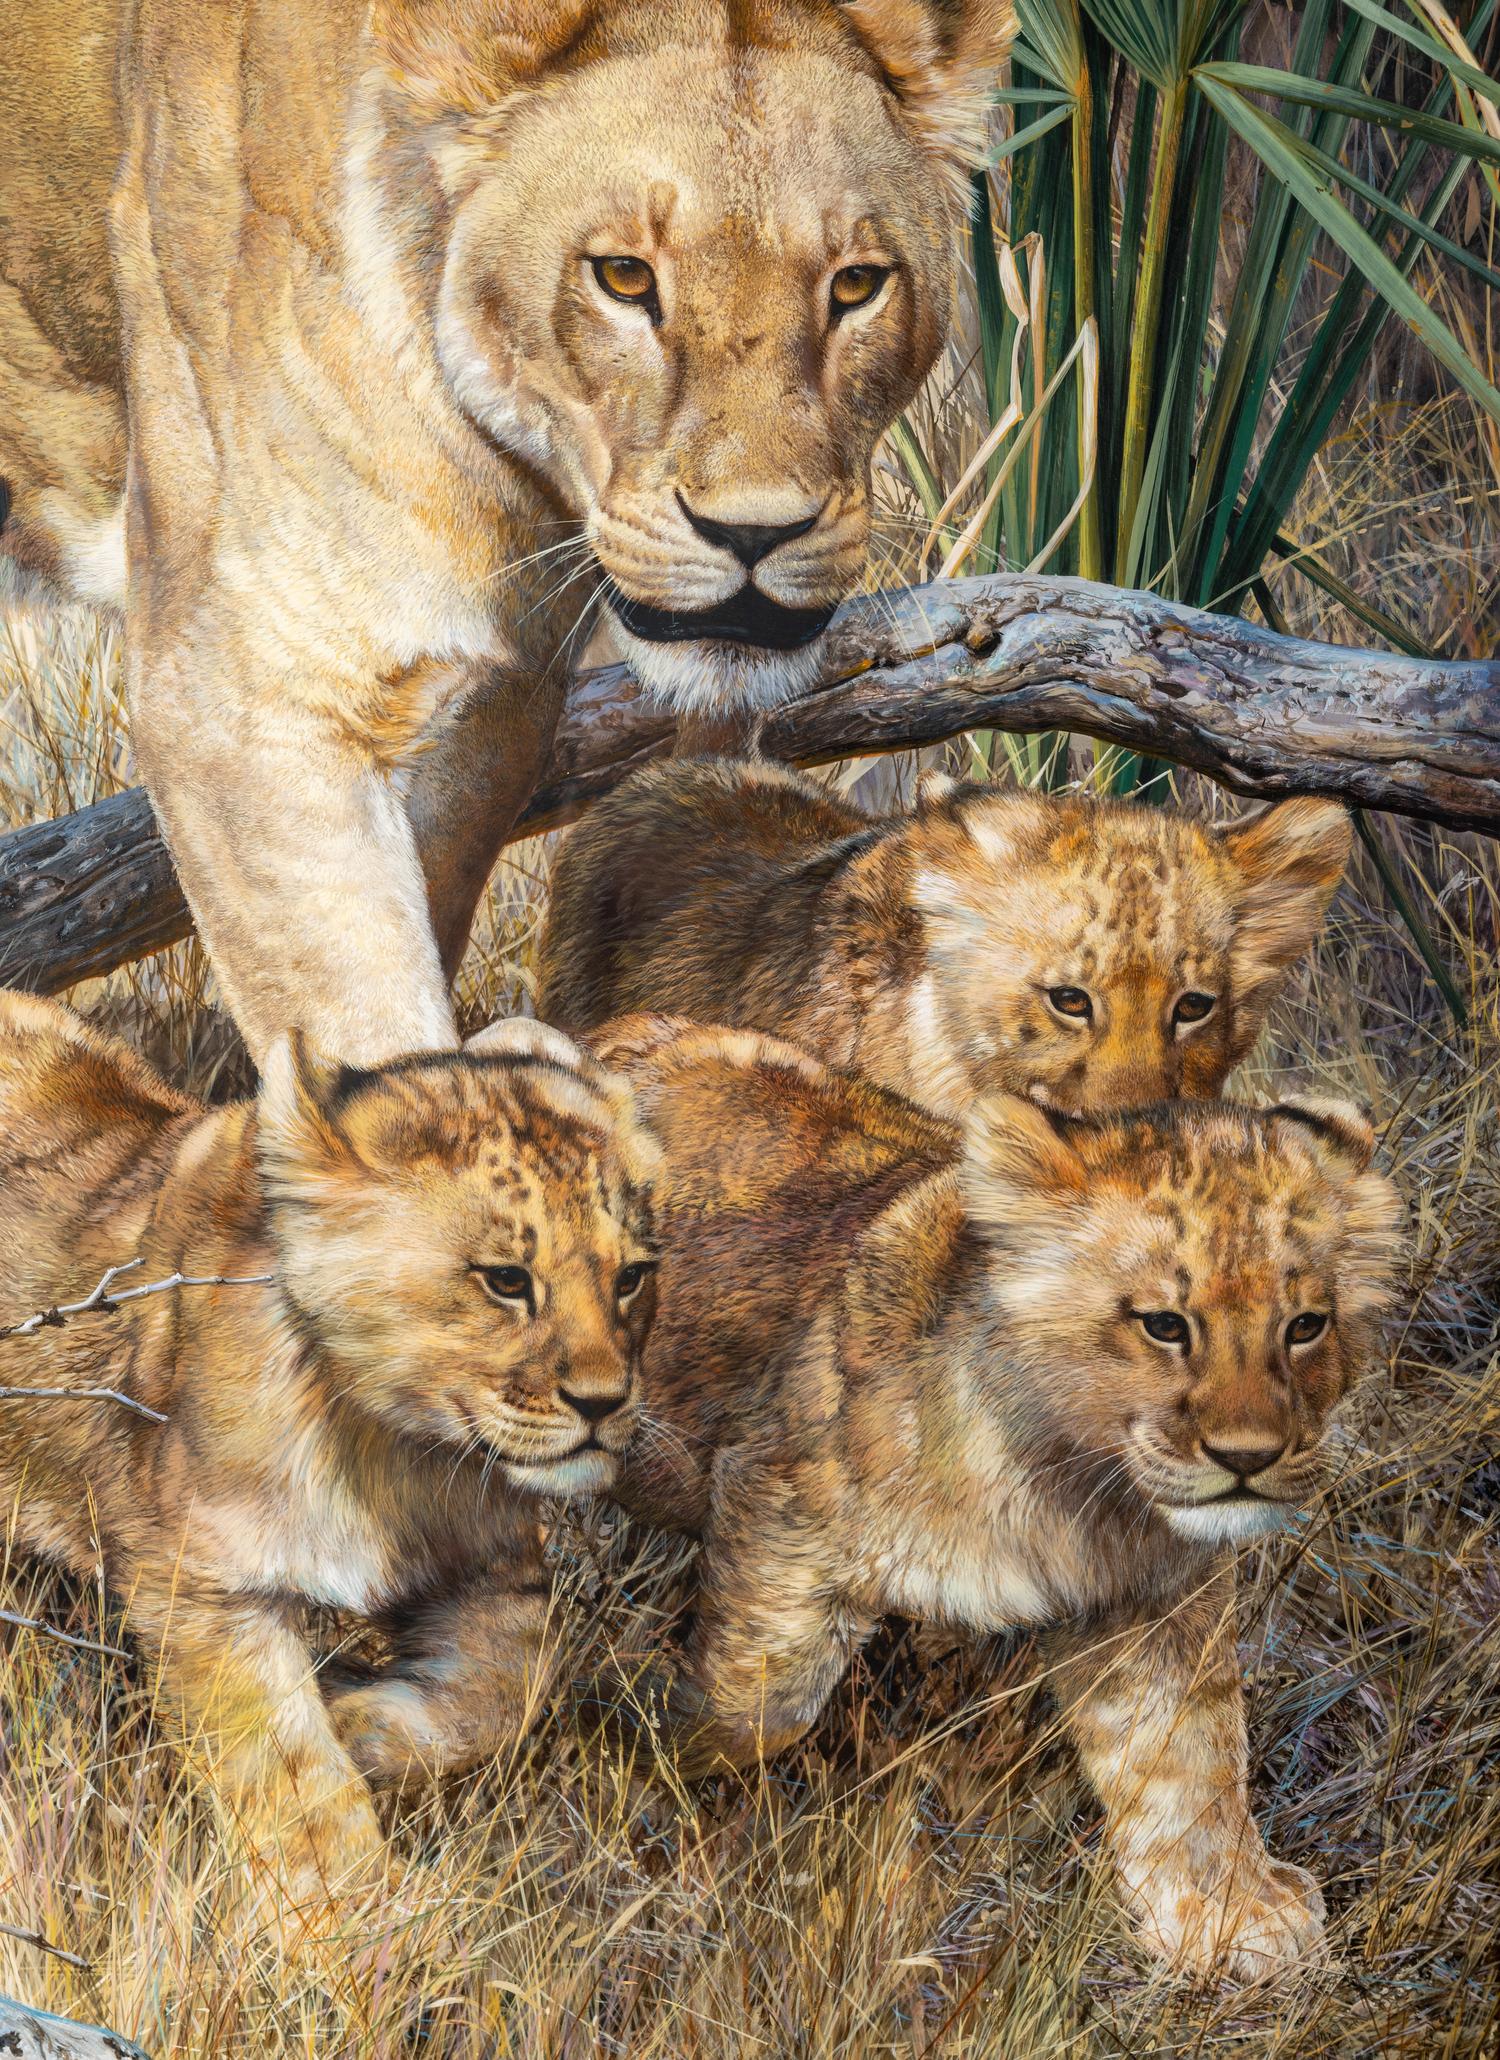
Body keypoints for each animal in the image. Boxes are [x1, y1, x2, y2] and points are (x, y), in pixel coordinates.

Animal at [0, 0, 1014, 1068]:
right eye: (623, 276)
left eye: (857, 285)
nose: (753, 535)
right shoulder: (238, 697)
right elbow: (358, 1014)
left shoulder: (496, 697)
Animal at [0, 991, 659, 1938]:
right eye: (504, 1279)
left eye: (633, 1278)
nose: (606, 1406)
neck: (394, 1446)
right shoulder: (197, 1584)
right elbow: (292, 1778)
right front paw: (353, 1932)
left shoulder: (494, 1567)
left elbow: (519, 1676)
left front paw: (361, 1721)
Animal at [582, 1017, 1403, 1980]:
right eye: (1164, 1324)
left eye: (1305, 1325)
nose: (1250, 1458)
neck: (1071, 1489)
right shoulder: (775, 1509)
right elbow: (755, 1706)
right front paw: (642, 1762)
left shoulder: (1152, 1599)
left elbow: (1188, 1752)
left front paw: (1229, 1915)